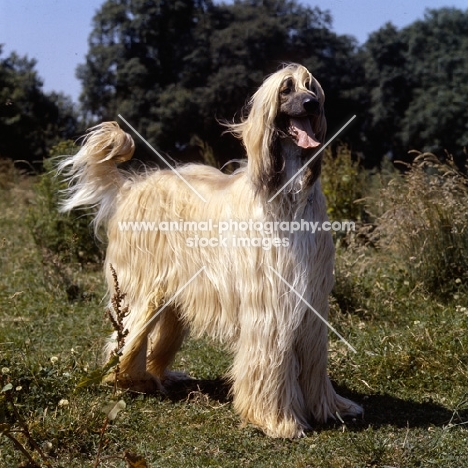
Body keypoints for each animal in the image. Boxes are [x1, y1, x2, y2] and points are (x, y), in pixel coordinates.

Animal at [59, 64, 362, 436]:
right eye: (286, 89)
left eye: (313, 89)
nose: (310, 105)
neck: (285, 194)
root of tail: (132, 185)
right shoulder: (269, 301)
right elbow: (270, 358)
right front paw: (277, 420)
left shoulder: (311, 298)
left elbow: (314, 357)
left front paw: (332, 408)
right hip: (143, 286)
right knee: (128, 333)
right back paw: (128, 379)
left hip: (174, 293)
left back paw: (157, 375)